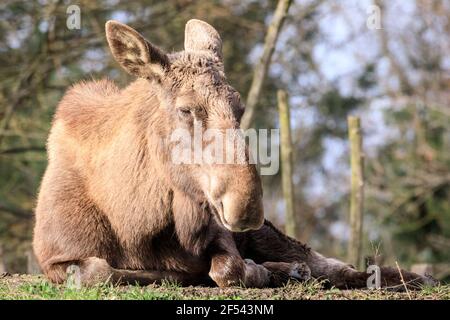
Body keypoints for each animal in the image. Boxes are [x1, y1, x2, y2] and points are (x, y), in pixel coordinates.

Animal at [33, 19, 434, 290]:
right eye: (186, 109)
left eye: (239, 107)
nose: (246, 205)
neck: (133, 219)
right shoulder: (55, 256)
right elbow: (98, 272)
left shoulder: (220, 235)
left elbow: (230, 269)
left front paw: (261, 270)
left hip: (272, 233)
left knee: (329, 262)